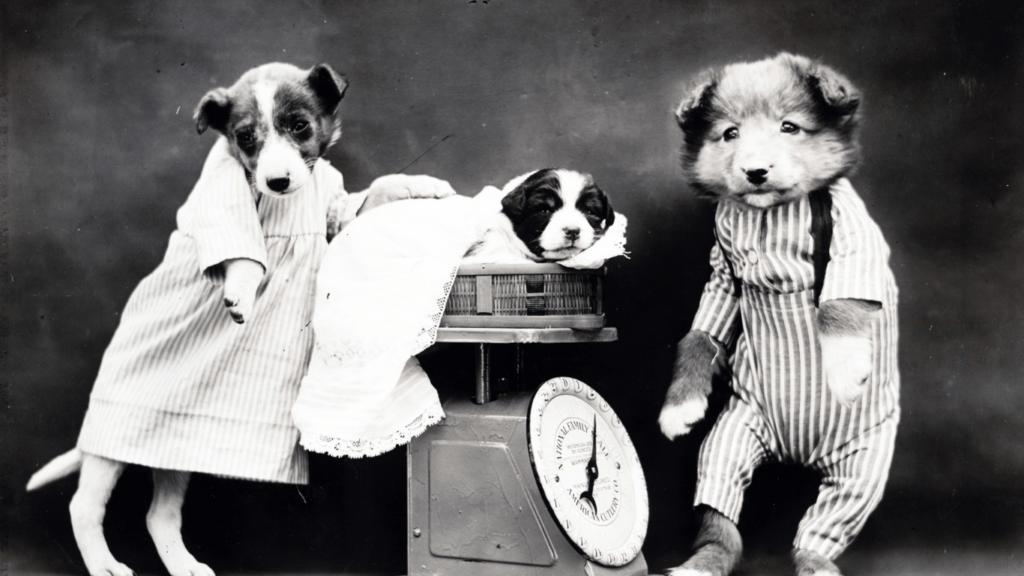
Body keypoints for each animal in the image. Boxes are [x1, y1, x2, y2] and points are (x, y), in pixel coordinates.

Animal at [659, 51, 901, 569]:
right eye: (729, 133)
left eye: (790, 127)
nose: (755, 171)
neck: (769, 216)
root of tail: (797, 456)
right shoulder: (722, 277)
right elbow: (699, 336)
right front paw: (679, 407)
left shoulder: (856, 246)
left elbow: (837, 305)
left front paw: (845, 371)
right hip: (731, 436)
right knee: (721, 523)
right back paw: (701, 565)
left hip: (863, 469)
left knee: (821, 529)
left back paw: (816, 565)